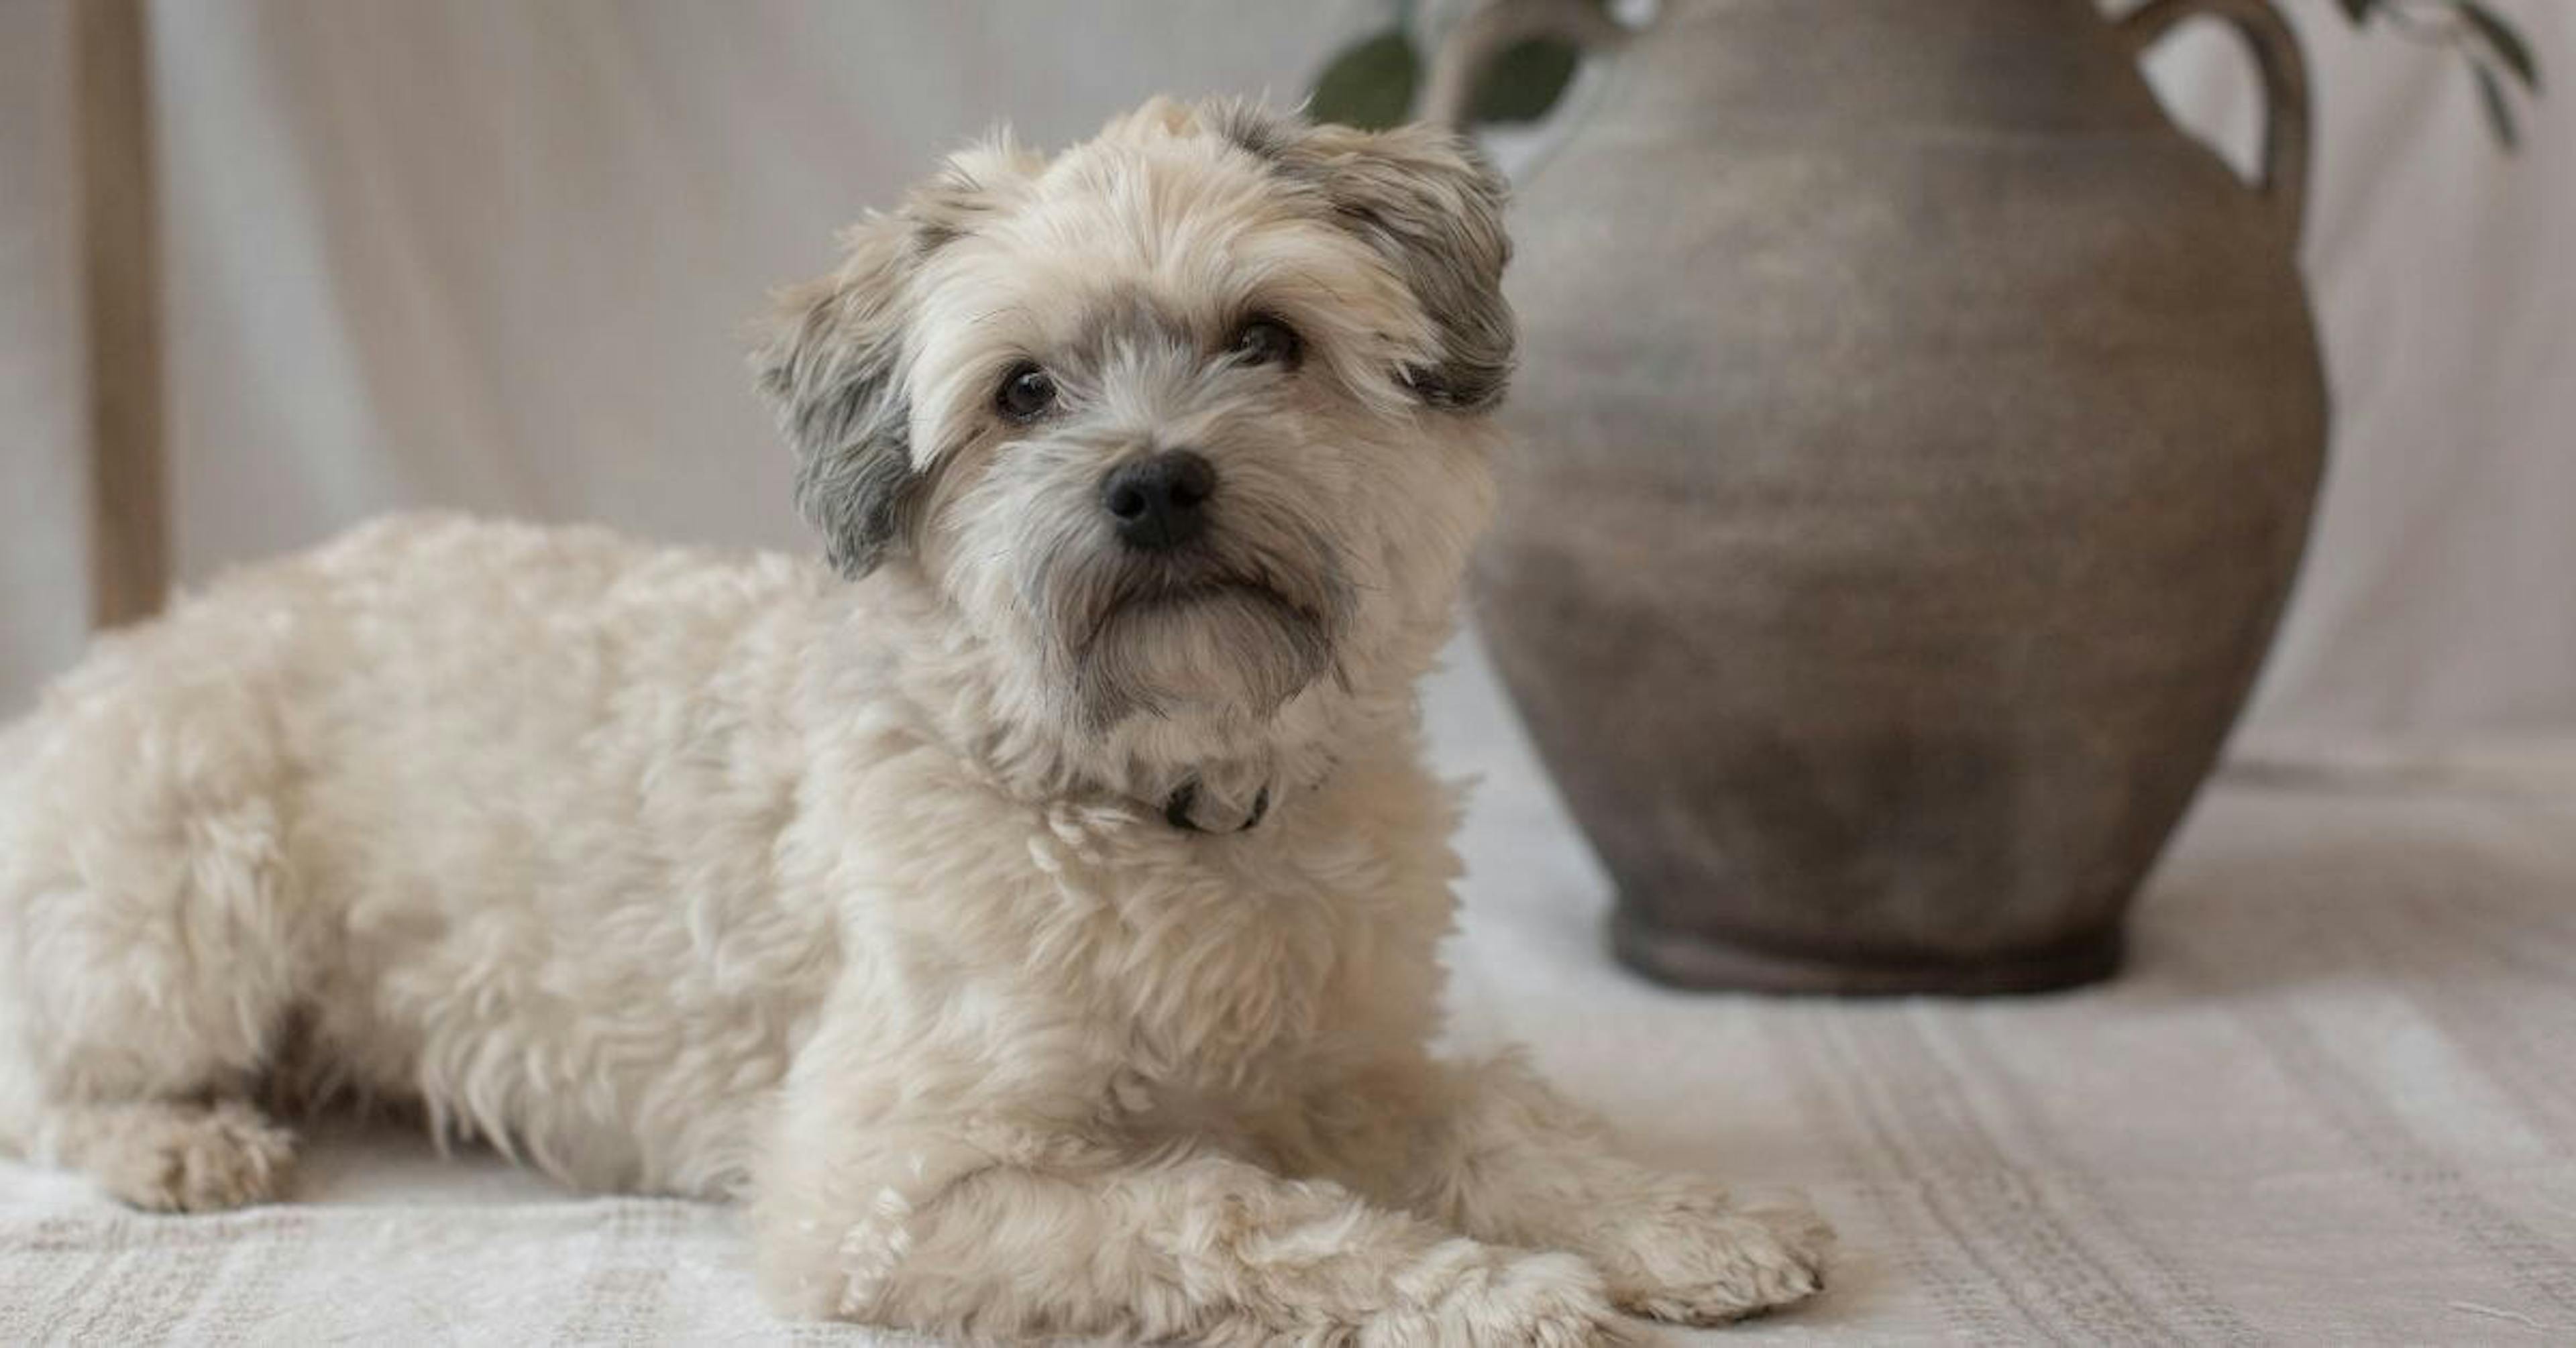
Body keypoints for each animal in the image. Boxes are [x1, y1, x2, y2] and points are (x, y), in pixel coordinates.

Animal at [0, 100, 1834, 1340]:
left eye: (1265, 338)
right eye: (1023, 391)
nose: (1154, 483)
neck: (1163, 806)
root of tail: (105, 666)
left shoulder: (1345, 1061)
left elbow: (1493, 1118)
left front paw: (1673, 1221)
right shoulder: (891, 1186)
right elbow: (1231, 1213)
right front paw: (1490, 1294)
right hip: (189, 910)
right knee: (48, 1079)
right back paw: (184, 1147)